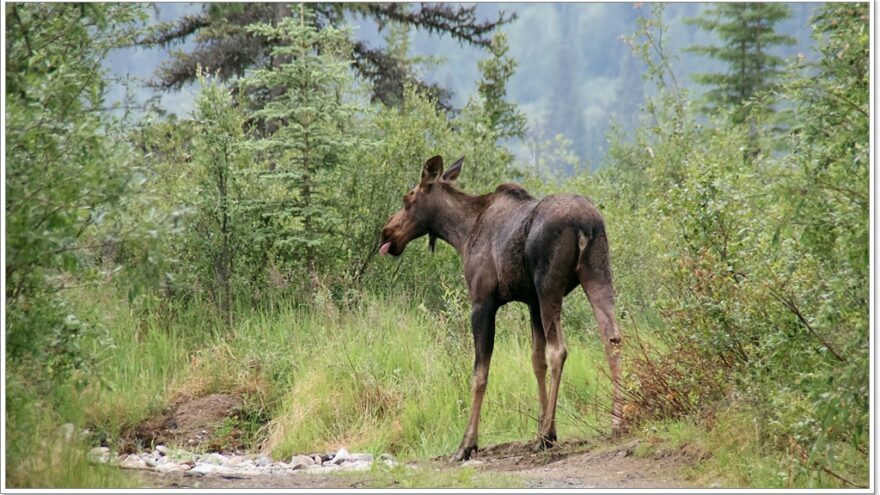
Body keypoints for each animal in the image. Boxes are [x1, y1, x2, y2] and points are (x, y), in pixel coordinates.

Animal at [380, 155, 624, 462]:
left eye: (407, 198)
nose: (386, 233)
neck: (461, 233)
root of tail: (586, 224)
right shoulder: (530, 300)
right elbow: (536, 361)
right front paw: (543, 429)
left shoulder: (483, 301)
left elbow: (479, 373)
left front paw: (467, 444)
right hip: (597, 272)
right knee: (611, 338)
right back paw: (616, 421)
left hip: (549, 284)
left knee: (560, 350)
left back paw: (546, 433)